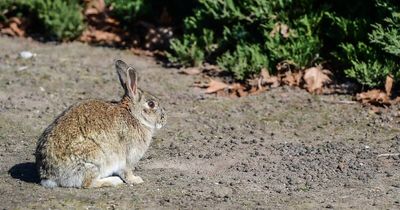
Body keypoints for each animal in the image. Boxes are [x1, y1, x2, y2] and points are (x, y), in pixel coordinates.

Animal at [34, 59, 166, 189]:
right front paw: (136, 180)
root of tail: (49, 175)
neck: (133, 115)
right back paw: (114, 181)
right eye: (151, 104)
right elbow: (127, 172)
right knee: (88, 183)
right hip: (94, 160)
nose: (164, 119)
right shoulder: (129, 156)